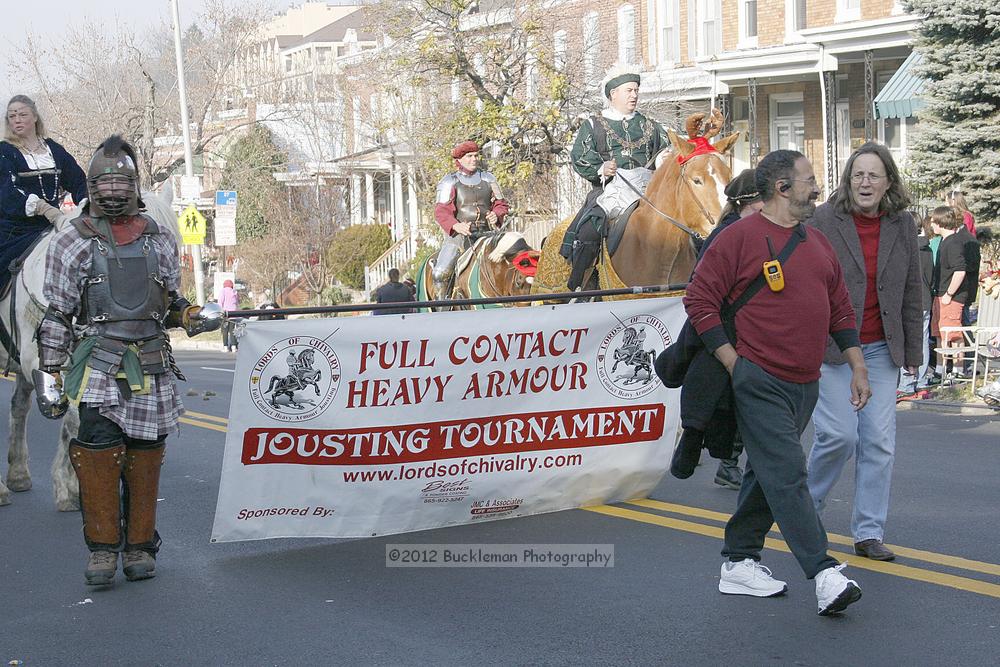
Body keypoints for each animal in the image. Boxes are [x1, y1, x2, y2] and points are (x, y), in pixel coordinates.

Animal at [0, 188, 180, 512]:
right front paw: (71, 489)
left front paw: (74, 486)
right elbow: (73, 415)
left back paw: (18, 475)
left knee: (18, 407)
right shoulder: (43, 360)